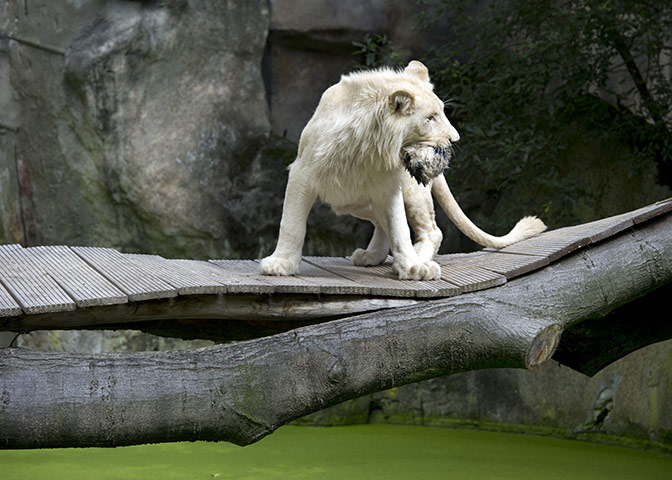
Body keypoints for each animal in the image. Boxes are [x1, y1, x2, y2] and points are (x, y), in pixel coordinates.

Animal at [260, 60, 546, 280]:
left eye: (442, 112)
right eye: (430, 118)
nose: (455, 139)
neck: (366, 148)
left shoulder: (390, 186)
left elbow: (399, 228)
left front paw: (412, 266)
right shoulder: (302, 172)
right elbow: (291, 224)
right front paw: (281, 263)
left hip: (409, 191)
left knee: (432, 231)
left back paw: (413, 259)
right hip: (350, 200)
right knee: (381, 223)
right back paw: (373, 255)